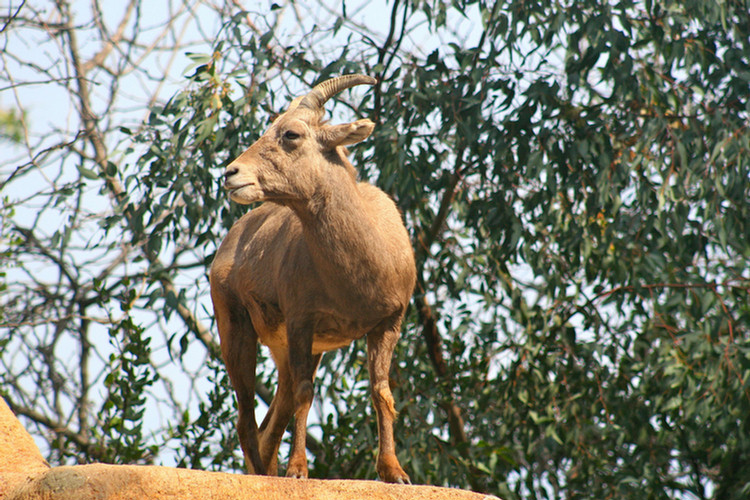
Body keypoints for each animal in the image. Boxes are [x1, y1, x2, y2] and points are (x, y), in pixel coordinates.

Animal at [212, 75, 418, 484]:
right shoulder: (301, 323)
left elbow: (381, 392)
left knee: (268, 425)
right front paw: (298, 471)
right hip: (236, 333)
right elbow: (307, 395)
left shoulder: (387, 325)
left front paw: (395, 473)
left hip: (281, 353)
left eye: (291, 133)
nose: (231, 174)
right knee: (247, 421)